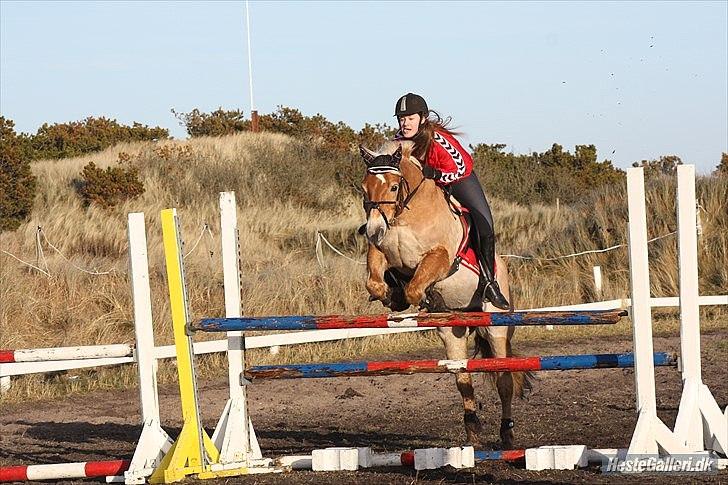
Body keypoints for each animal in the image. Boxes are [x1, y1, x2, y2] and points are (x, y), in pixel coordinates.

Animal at [358, 139, 536, 446]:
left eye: (393, 187)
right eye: (364, 188)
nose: (373, 230)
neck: (407, 214)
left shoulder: (440, 257)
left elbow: (416, 285)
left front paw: (413, 296)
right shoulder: (382, 252)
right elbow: (377, 281)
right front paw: (393, 296)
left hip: (496, 326)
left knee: (503, 380)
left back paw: (507, 433)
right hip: (453, 331)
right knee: (462, 378)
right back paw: (473, 431)